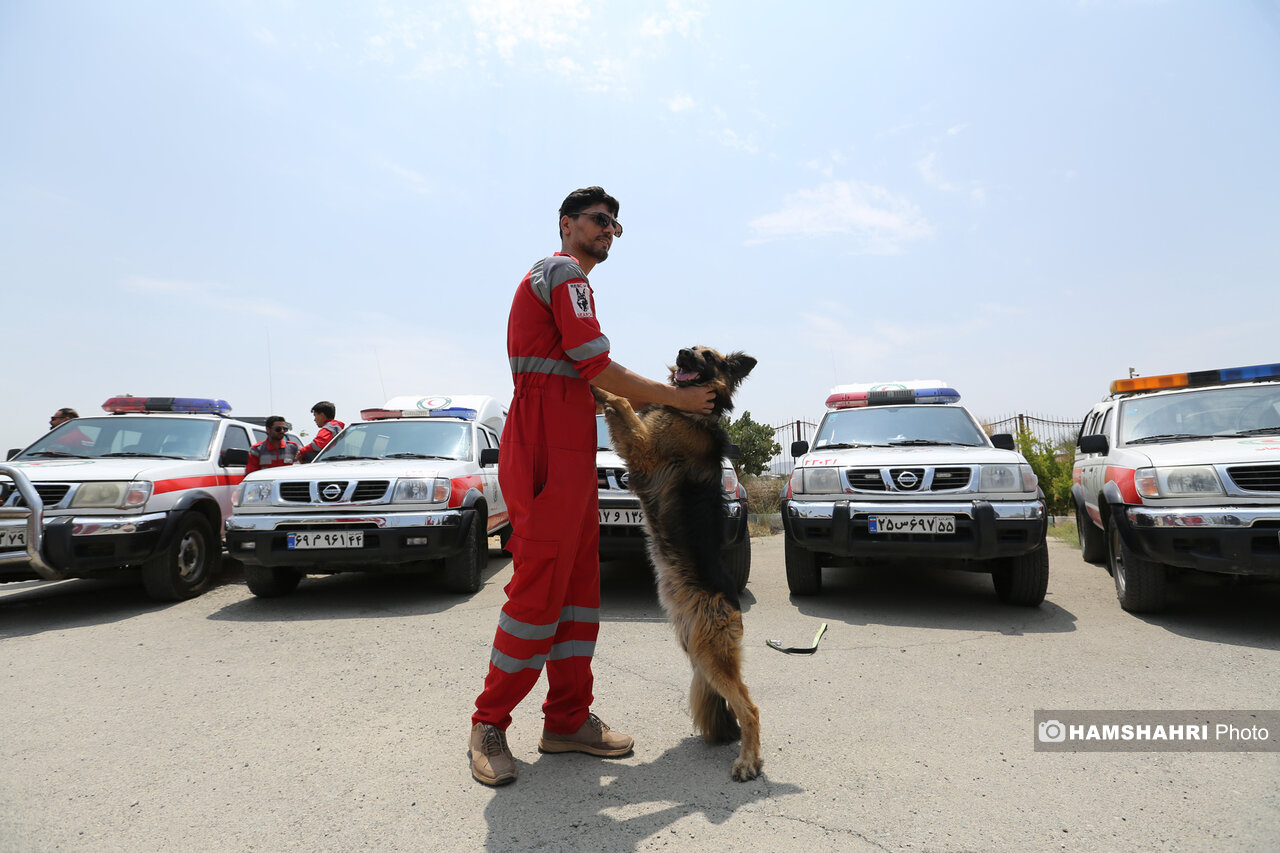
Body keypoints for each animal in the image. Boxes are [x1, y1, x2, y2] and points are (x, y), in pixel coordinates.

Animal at [593, 346, 761, 782]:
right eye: (691, 347)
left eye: (708, 357)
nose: (682, 352)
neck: (689, 411)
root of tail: (731, 602)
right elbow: (623, 402)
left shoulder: (644, 449)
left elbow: (621, 401)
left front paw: (595, 383)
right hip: (697, 651)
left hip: (710, 653)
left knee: (751, 708)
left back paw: (748, 761)